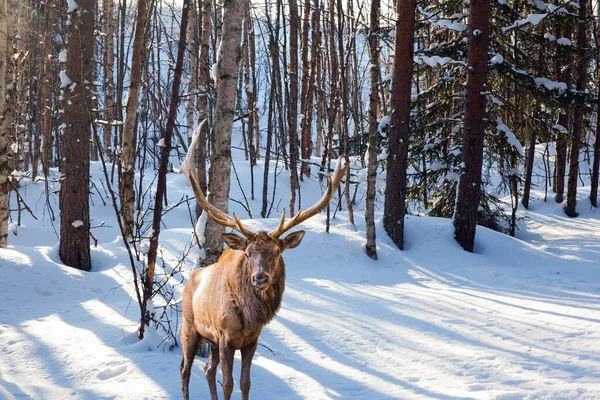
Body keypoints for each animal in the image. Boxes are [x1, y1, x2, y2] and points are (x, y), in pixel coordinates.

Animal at [178, 158, 346, 398]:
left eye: (276, 252)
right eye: (247, 254)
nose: (259, 278)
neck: (249, 318)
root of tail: (190, 280)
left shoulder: (251, 341)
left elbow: (245, 383)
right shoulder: (225, 337)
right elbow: (228, 383)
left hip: (211, 340)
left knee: (208, 369)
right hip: (189, 326)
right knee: (185, 369)